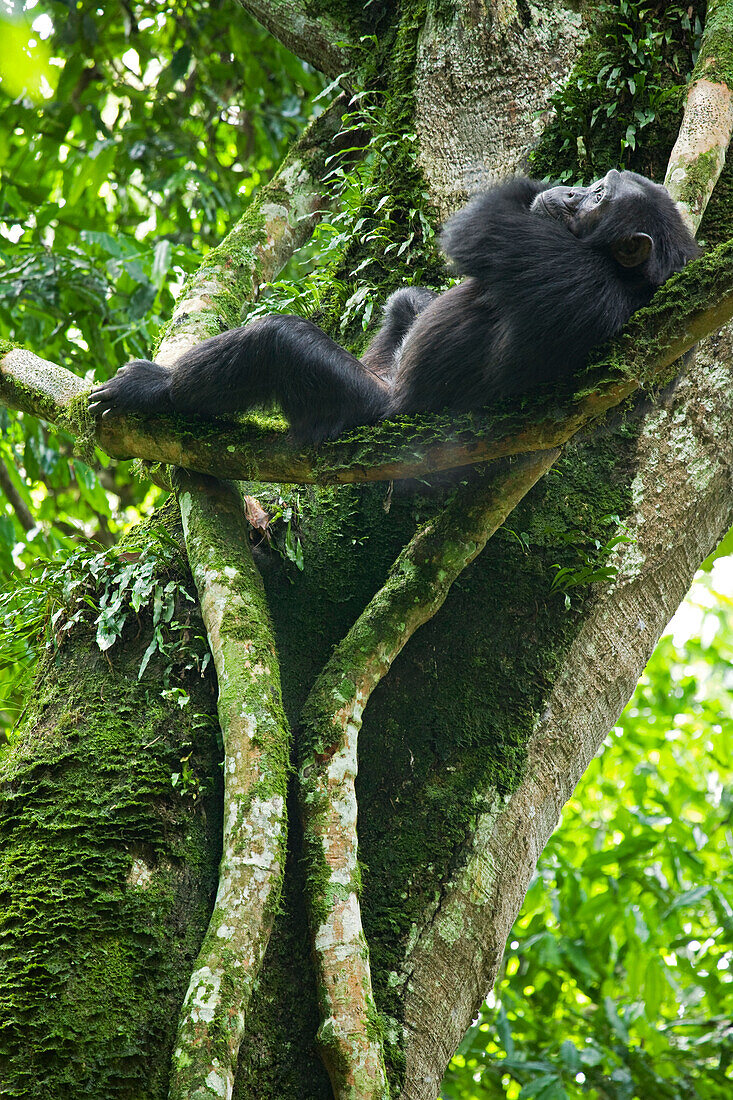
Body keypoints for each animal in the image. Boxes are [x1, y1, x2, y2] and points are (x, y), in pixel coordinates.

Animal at [89, 168, 695, 442]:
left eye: (599, 197)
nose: (574, 191)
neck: (622, 275)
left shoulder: (558, 266)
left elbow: (476, 232)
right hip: (382, 370)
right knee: (406, 302)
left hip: (358, 410)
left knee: (278, 341)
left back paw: (155, 391)